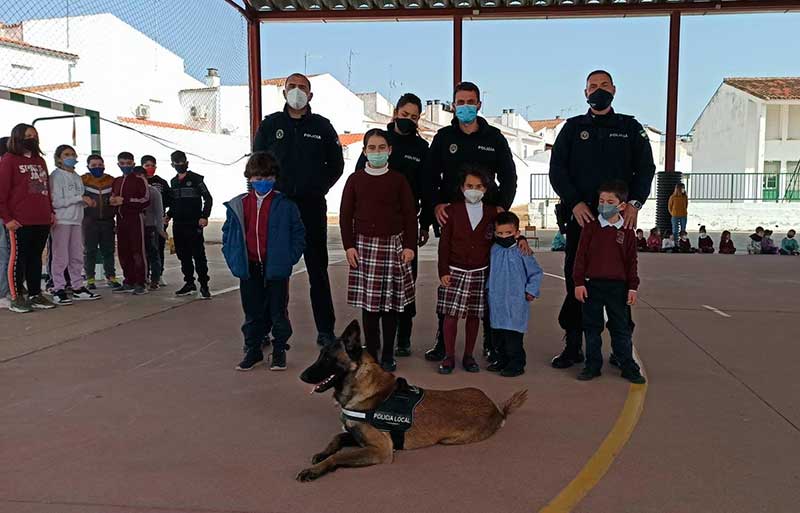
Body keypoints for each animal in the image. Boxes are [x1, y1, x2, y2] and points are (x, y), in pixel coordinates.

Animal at [296, 318, 528, 482]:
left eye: (327, 358)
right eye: (320, 355)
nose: (302, 376)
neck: (360, 386)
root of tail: (497, 409)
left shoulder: (381, 449)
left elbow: (338, 457)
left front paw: (314, 470)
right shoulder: (357, 436)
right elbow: (337, 437)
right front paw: (322, 453)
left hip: (449, 440)